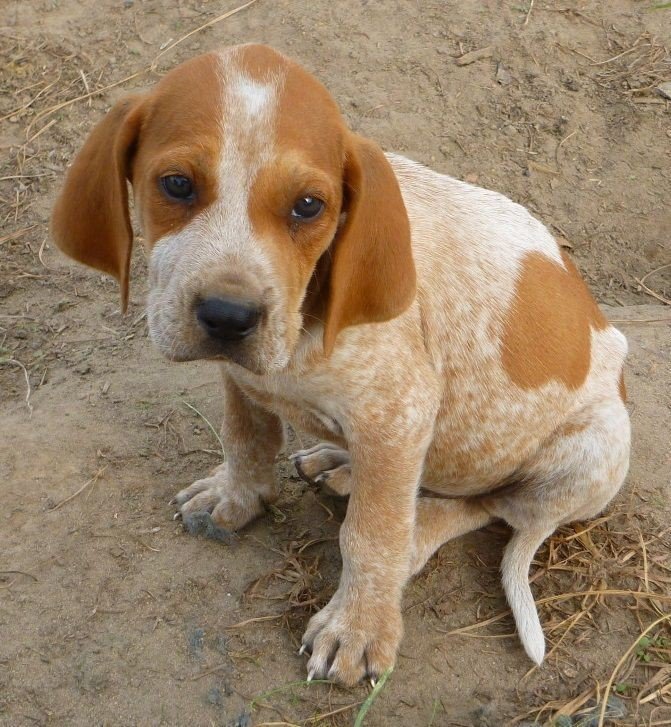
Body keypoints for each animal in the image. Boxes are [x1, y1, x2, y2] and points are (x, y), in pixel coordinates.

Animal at [51, 44, 632, 684]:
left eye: (309, 206)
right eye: (176, 184)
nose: (228, 316)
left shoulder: (399, 412)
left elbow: (371, 534)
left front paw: (358, 626)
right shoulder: (245, 377)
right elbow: (246, 436)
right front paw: (237, 494)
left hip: (593, 450)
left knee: (491, 507)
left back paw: (417, 530)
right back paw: (340, 463)